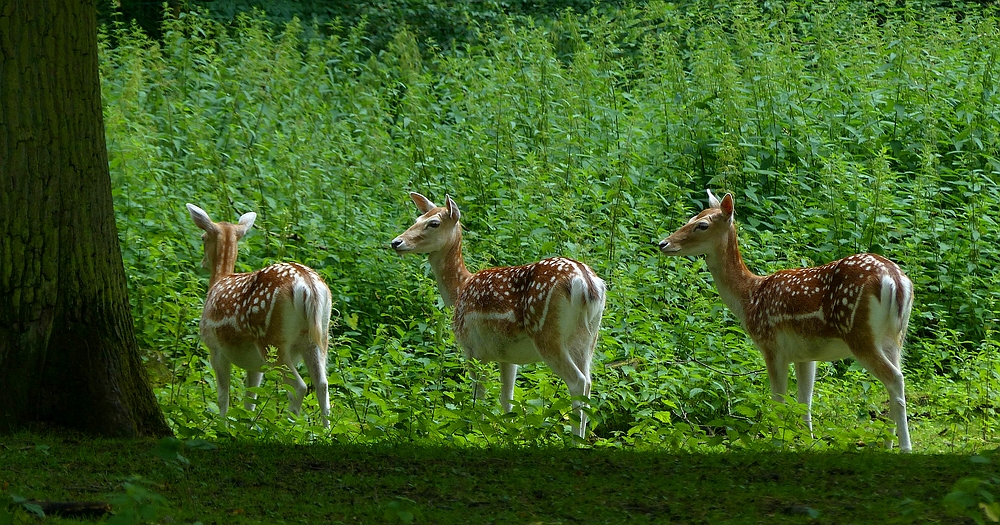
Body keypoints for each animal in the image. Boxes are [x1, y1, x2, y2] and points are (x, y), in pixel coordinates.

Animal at [184, 203, 332, 428]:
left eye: (202, 237)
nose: (202, 263)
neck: (218, 281)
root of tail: (308, 285)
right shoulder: (255, 364)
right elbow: (250, 397)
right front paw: (246, 426)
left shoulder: (215, 348)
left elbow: (223, 395)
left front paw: (222, 426)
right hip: (318, 336)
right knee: (322, 384)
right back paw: (326, 432)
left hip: (271, 340)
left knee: (298, 387)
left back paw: (286, 428)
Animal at [392, 192, 608, 438]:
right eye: (418, 218)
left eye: (433, 223)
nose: (396, 242)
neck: (460, 290)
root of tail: (586, 283)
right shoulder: (507, 355)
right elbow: (507, 400)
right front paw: (508, 433)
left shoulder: (473, 349)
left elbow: (479, 399)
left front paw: (476, 433)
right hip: (587, 337)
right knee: (589, 382)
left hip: (546, 334)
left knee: (577, 382)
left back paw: (574, 440)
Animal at [656, 190, 916, 452]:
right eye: (691, 217)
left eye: (702, 225)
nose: (663, 243)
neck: (750, 298)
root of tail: (895, 280)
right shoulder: (806, 355)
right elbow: (804, 402)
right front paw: (806, 441)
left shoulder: (771, 346)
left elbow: (778, 401)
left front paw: (777, 443)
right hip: (894, 337)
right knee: (895, 380)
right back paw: (887, 444)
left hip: (859, 333)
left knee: (895, 378)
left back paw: (904, 447)